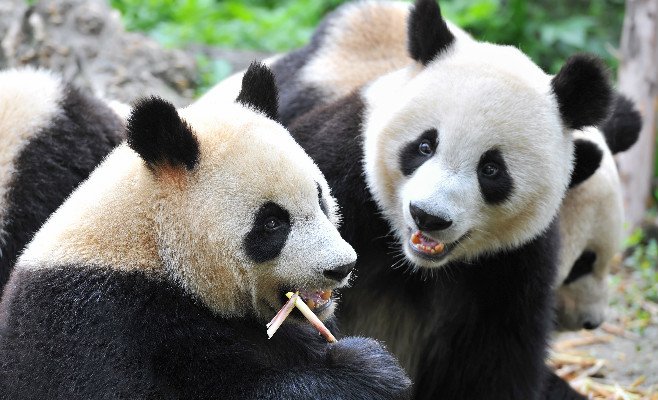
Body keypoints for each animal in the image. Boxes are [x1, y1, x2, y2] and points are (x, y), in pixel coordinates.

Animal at [241, 1, 608, 398]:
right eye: (424, 146)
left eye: (491, 169)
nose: (428, 217)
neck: (412, 264)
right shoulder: (337, 167)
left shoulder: (513, 266)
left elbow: (496, 362)